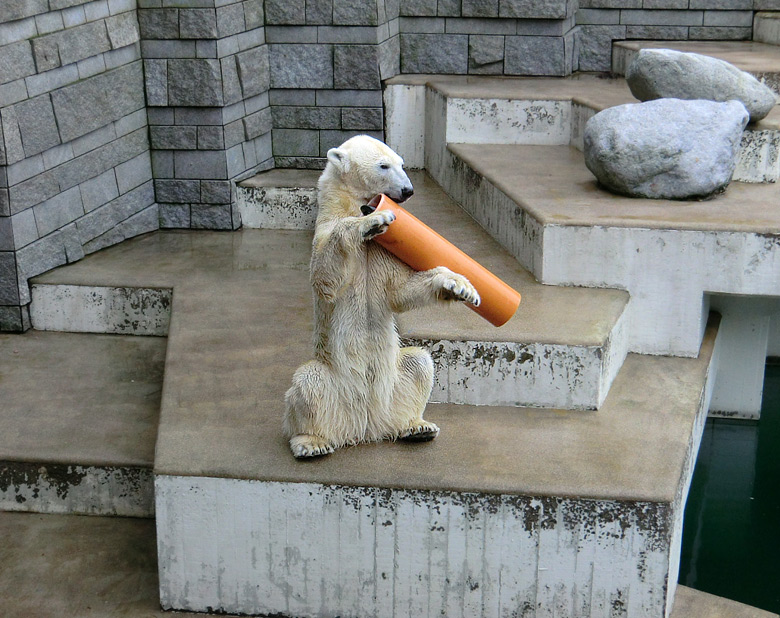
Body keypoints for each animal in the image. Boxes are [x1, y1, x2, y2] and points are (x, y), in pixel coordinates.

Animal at [284, 136, 482, 458]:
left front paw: (458, 285)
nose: (408, 190)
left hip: (394, 382)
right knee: (308, 382)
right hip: (331, 380)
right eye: (383, 166)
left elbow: (399, 291)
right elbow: (326, 279)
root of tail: (365, 427)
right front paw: (373, 220)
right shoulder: (325, 229)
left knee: (418, 362)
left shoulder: (384, 255)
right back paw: (312, 443)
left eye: (401, 163)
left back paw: (417, 427)